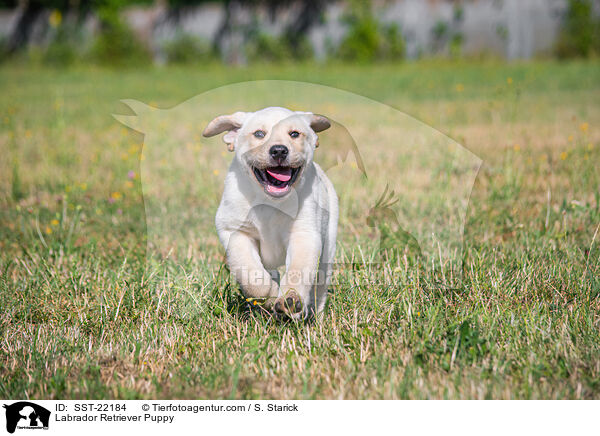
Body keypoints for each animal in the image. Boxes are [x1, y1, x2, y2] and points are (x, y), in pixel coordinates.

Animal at [205, 107, 338, 318]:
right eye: (259, 134)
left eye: (294, 134)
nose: (279, 150)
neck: (269, 201)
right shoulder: (234, 230)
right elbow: (249, 273)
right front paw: (268, 295)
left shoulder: (305, 234)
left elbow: (298, 270)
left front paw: (290, 299)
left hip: (329, 244)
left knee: (320, 284)